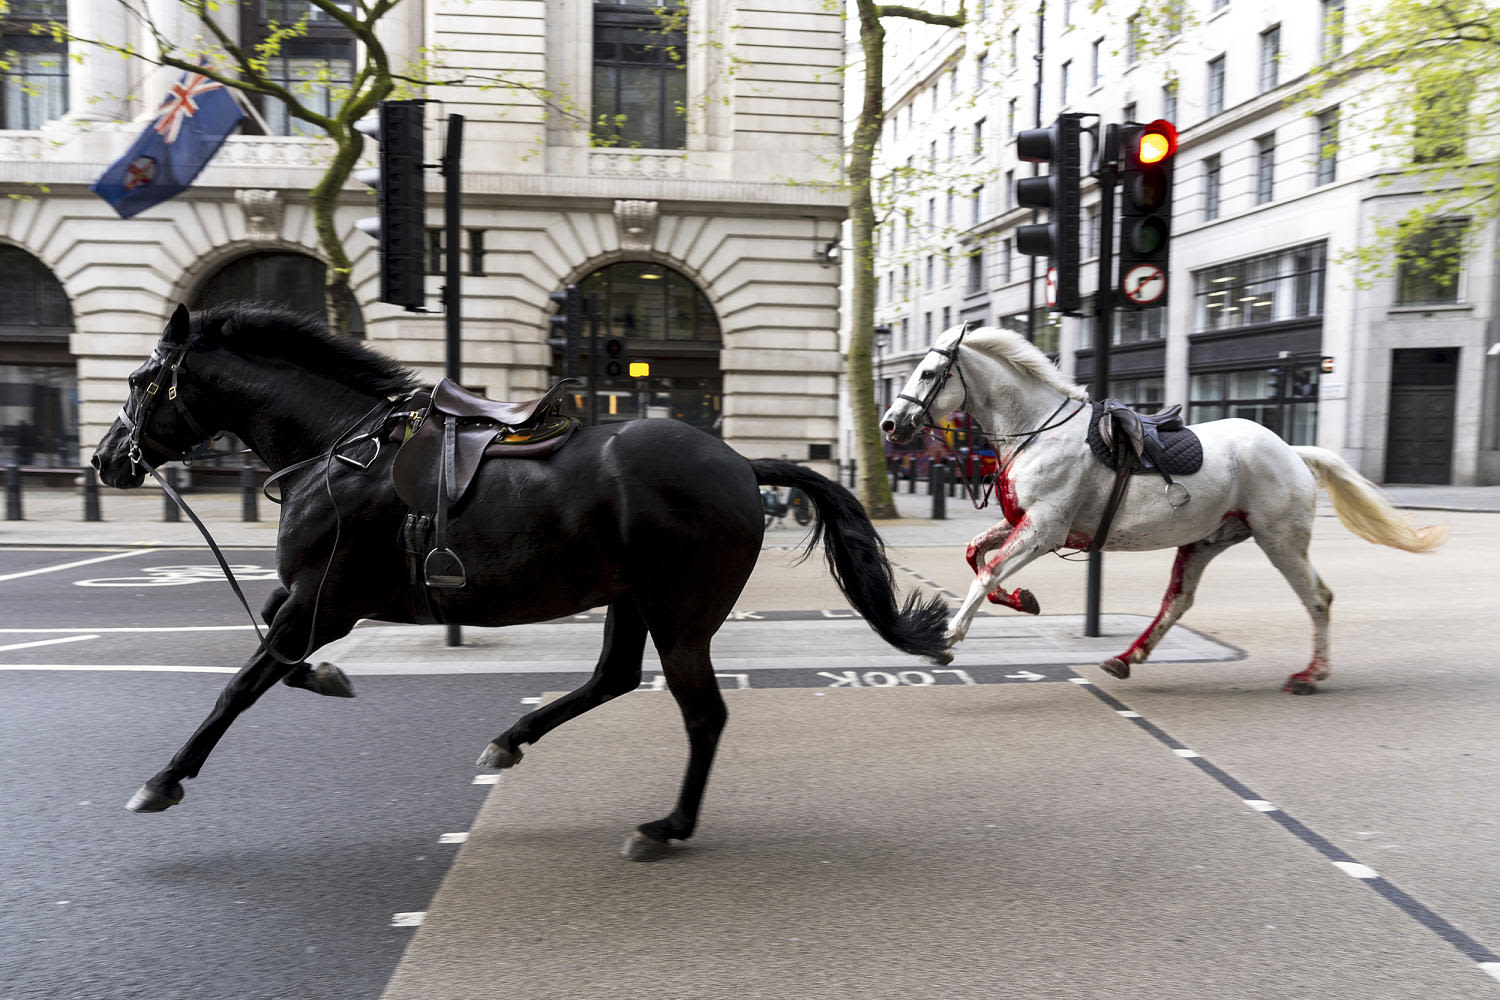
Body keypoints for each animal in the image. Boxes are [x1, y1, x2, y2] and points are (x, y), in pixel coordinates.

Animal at [87, 302, 942, 863]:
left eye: (139, 379)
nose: (105, 461)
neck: (338, 450)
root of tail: (739, 462)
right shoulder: (308, 600)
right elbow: (274, 653)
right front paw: (329, 679)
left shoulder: (327, 601)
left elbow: (241, 684)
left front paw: (164, 779)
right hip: (632, 598)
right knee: (613, 678)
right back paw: (511, 740)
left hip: (680, 612)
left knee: (703, 714)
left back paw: (666, 826)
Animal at [882, 325, 1446, 692]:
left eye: (928, 372)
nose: (889, 424)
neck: (1038, 431)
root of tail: (1292, 450)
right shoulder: (1025, 523)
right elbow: (976, 554)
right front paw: (1023, 599)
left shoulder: (1044, 529)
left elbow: (987, 571)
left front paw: (948, 637)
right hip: (1206, 540)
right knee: (1178, 601)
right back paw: (1126, 658)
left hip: (1280, 540)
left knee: (1318, 599)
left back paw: (1311, 674)